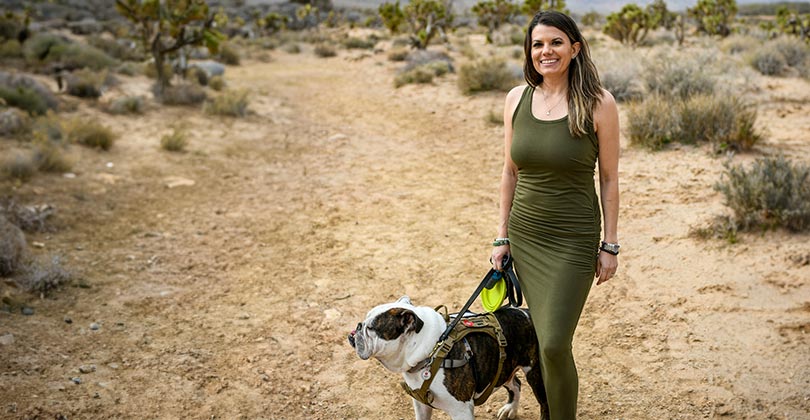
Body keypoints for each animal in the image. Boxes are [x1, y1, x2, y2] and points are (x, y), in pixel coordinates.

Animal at [348, 296, 548, 418]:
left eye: (372, 328)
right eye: (365, 322)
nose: (358, 326)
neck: (431, 351)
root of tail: (527, 313)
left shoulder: (461, 410)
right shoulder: (420, 405)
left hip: (535, 373)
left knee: (544, 402)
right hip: (501, 368)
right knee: (515, 384)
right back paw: (510, 409)